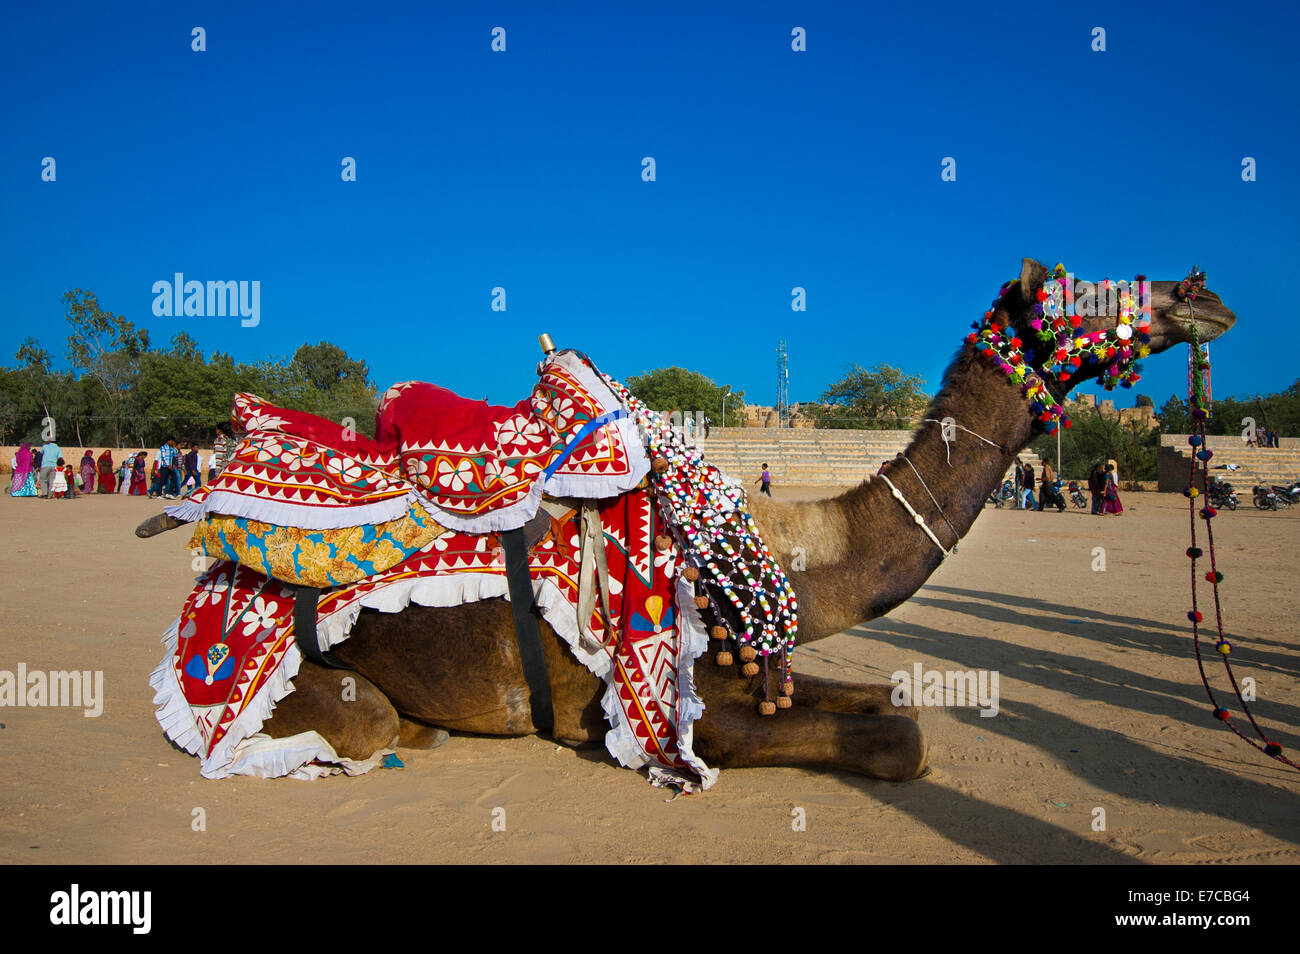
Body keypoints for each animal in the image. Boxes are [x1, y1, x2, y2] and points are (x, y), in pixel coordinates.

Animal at [139, 257, 1237, 790]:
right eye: (1077, 288)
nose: (1204, 294)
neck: (792, 552)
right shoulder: (660, 702)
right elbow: (899, 744)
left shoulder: (769, 668)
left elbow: (889, 697)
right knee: (360, 717)